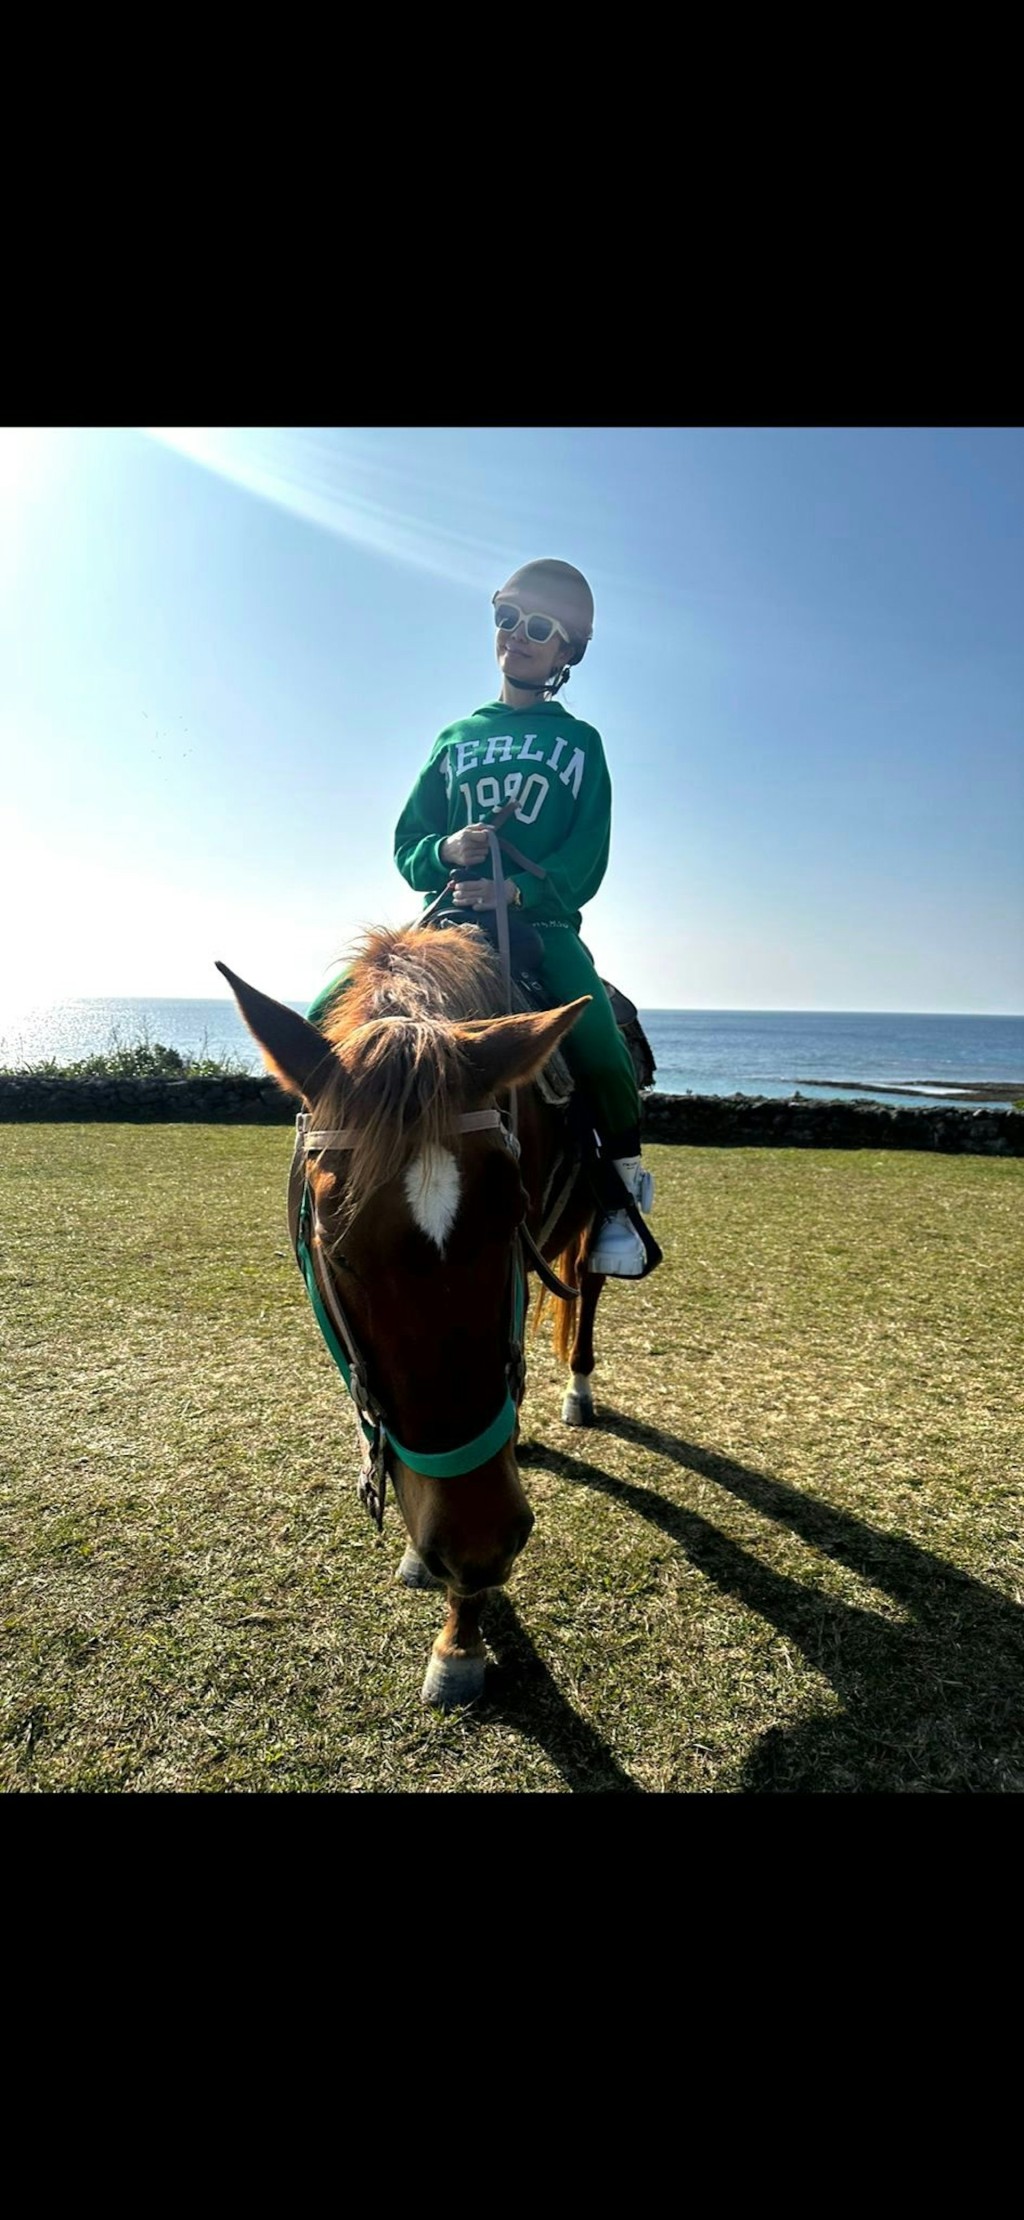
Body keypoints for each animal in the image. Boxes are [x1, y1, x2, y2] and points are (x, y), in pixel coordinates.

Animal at [217, 923, 609, 1708]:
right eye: (332, 1249)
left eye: (514, 1216)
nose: (481, 1544)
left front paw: (460, 1639)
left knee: (586, 1284)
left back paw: (579, 1389)